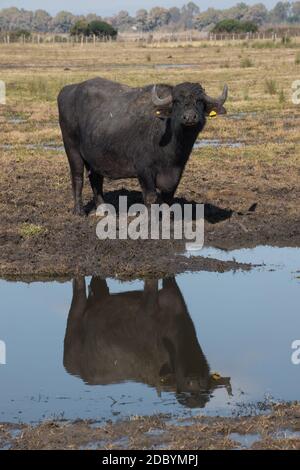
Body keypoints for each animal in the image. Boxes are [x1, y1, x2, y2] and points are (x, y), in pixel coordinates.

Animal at [58, 78, 227, 216]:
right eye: (177, 101)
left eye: (199, 101)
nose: (190, 117)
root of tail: (68, 89)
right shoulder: (144, 169)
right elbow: (150, 197)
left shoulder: (177, 171)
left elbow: (168, 198)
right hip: (72, 149)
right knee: (77, 178)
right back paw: (79, 212)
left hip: (95, 157)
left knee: (96, 179)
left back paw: (103, 209)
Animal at [63, 276, 232, 408]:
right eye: (185, 387)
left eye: (204, 390)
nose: (194, 381)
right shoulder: (149, 303)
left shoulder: (175, 292)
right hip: (73, 324)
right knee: (78, 292)